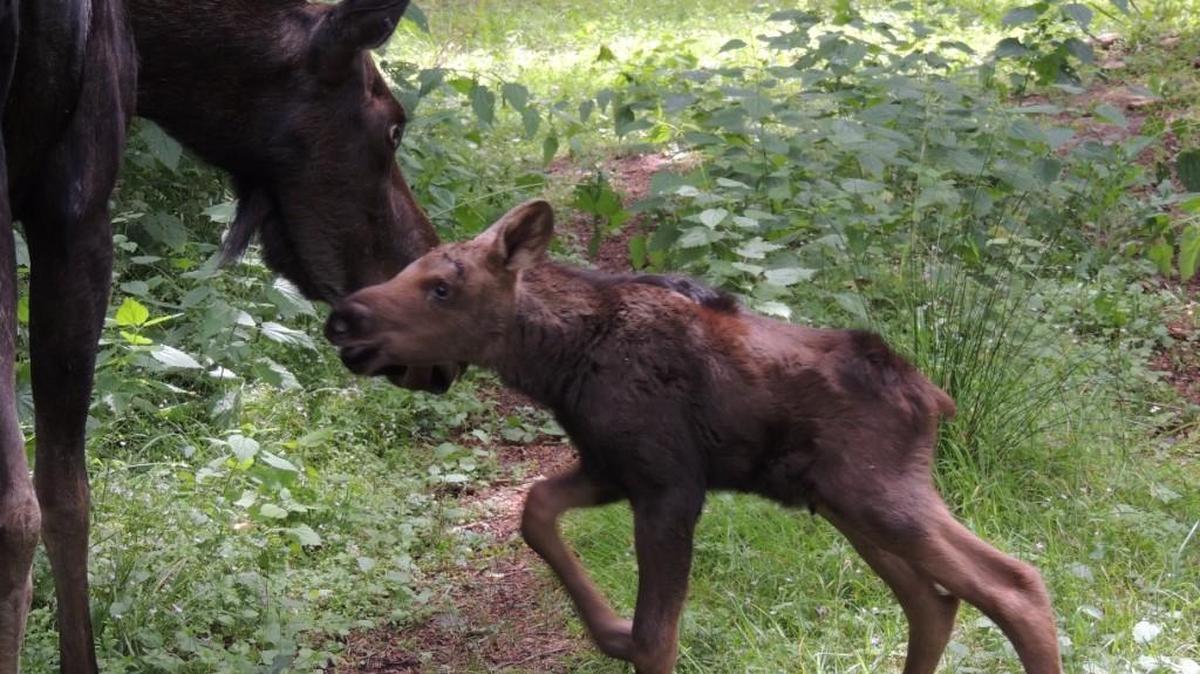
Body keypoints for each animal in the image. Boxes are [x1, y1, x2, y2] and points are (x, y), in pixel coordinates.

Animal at [325, 200, 1064, 674]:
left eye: (441, 287)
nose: (343, 318)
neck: (558, 364)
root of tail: (936, 398)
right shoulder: (611, 465)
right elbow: (535, 511)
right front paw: (608, 629)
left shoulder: (669, 484)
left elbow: (659, 638)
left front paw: (623, 632)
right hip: (847, 506)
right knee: (934, 603)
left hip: (880, 498)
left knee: (1015, 585)